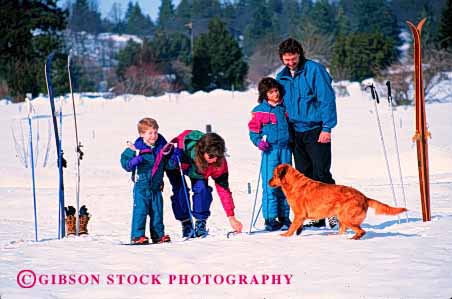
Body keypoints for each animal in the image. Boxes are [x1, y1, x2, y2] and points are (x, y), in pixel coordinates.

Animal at [266, 165, 408, 240]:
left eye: (274, 175)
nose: (267, 182)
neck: (293, 185)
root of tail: (364, 197)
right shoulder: (300, 216)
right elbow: (297, 226)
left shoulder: (299, 214)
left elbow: (291, 227)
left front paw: (285, 235)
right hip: (342, 217)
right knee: (343, 231)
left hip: (346, 217)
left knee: (361, 231)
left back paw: (352, 239)